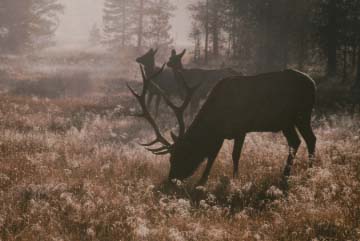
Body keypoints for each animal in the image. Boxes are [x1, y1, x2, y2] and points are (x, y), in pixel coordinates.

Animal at [128, 66, 316, 186]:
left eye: (181, 156)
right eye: (170, 158)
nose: (170, 180)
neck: (216, 118)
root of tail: (313, 83)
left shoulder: (240, 128)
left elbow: (235, 155)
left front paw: (235, 179)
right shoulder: (220, 134)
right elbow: (212, 155)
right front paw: (202, 181)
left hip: (302, 114)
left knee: (309, 139)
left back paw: (306, 173)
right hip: (287, 121)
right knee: (298, 141)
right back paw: (290, 174)